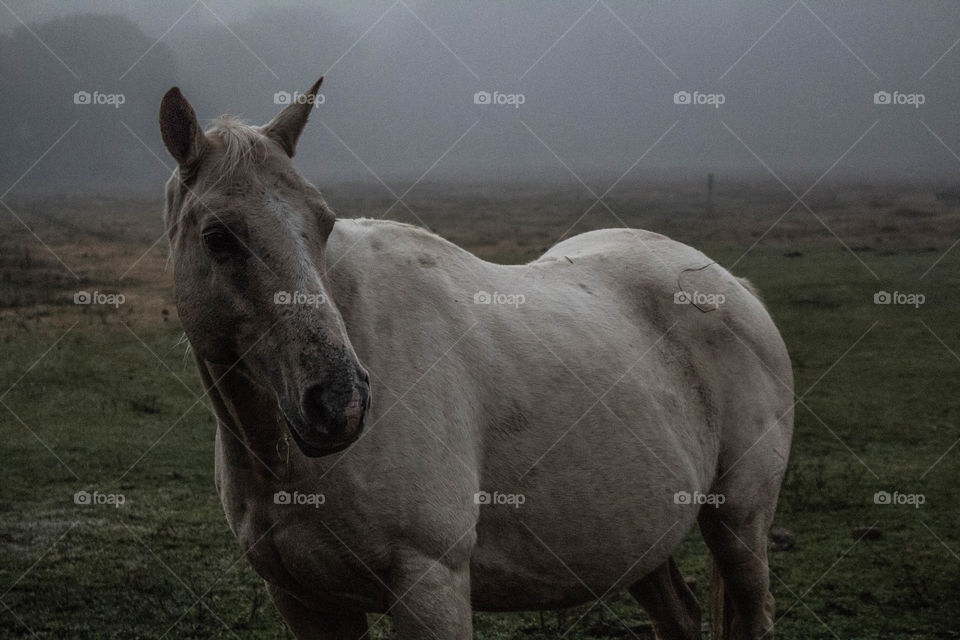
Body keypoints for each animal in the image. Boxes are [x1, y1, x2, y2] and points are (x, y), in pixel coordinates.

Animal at [159, 80, 796, 640]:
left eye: (323, 222)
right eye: (218, 236)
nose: (341, 402)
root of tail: (732, 284)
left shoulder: (430, 583)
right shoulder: (305, 601)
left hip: (739, 522)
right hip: (640, 540)